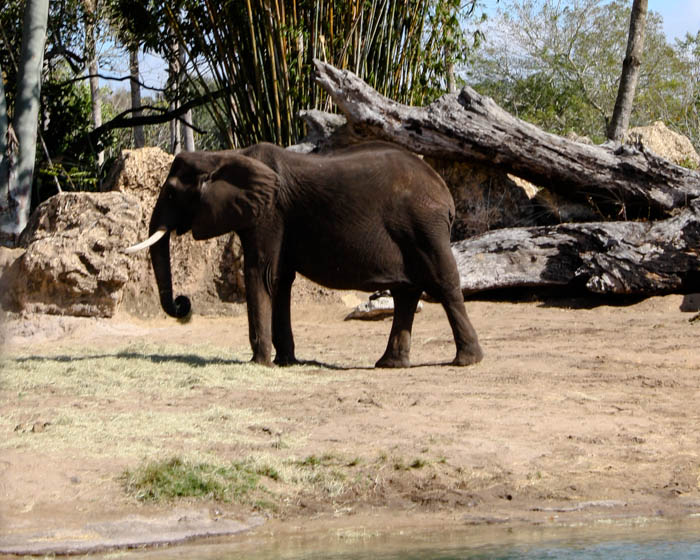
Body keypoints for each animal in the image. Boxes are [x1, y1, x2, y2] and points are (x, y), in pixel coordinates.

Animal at [126, 141, 484, 368]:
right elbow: (280, 280)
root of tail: (445, 193)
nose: (183, 304)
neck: (225, 155)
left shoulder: (269, 213)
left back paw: (466, 361)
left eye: (172, 193)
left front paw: (260, 363)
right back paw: (389, 364)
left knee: (443, 283)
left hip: (424, 226)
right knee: (406, 293)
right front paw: (285, 362)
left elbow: (262, 274)